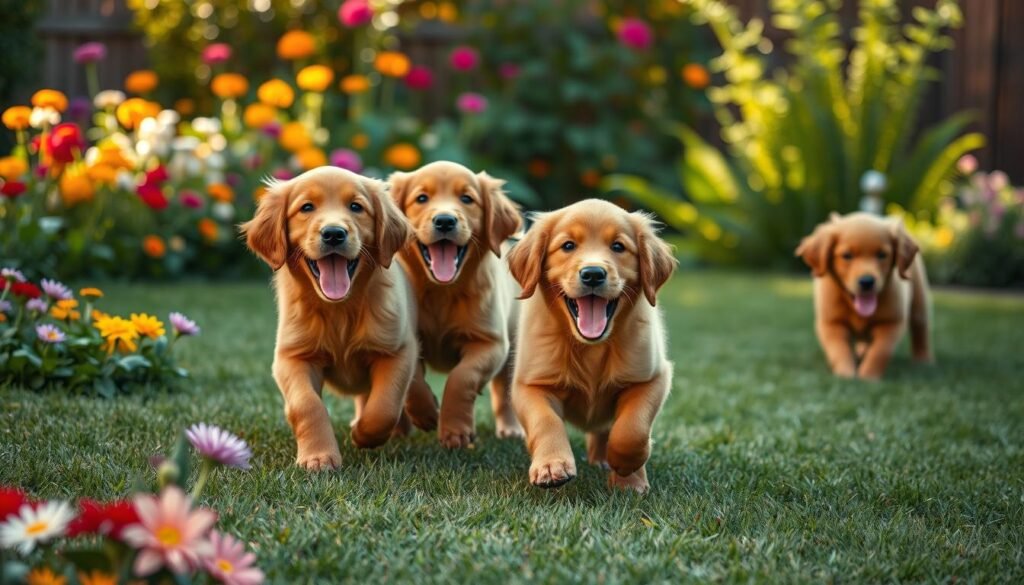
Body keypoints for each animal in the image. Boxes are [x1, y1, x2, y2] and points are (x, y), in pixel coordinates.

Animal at [241, 164, 438, 471]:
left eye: (356, 207)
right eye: (306, 207)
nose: (333, 234)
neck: (340, 309)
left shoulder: (395, 350)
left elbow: (385, 405)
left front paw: (364, 434)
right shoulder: (292, 357)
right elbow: (306, 405)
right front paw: (318, 457)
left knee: (413, 381)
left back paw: (427, 411)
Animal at [387, 159, 524, 448]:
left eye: (467, 199)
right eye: (421, 198)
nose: (445, 221)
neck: (442, 291)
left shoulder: (491, 342)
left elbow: (462, 378)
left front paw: (456, 431)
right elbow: (412, 378)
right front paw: (426, 412)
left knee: (504, 391)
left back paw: (511, 429)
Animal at [505, 198, 679, 491]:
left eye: (618, 247)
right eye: (568, 246)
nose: (593, 274)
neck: (591, 347)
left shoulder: (653, 377)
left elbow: (632, 428)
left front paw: (626, 470)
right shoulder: (529, 383)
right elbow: (545, 421)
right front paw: (552, 466)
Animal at [794, 213, 933, 383]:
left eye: (882, 255)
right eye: (847, 256)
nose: (867, 282)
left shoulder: (891, 322)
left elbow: (880, 351)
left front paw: (868, 377)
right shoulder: (831, 323)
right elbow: (839, 350)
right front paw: (845, 374)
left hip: (919, 301)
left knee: (920, 329)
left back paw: (923, 359)